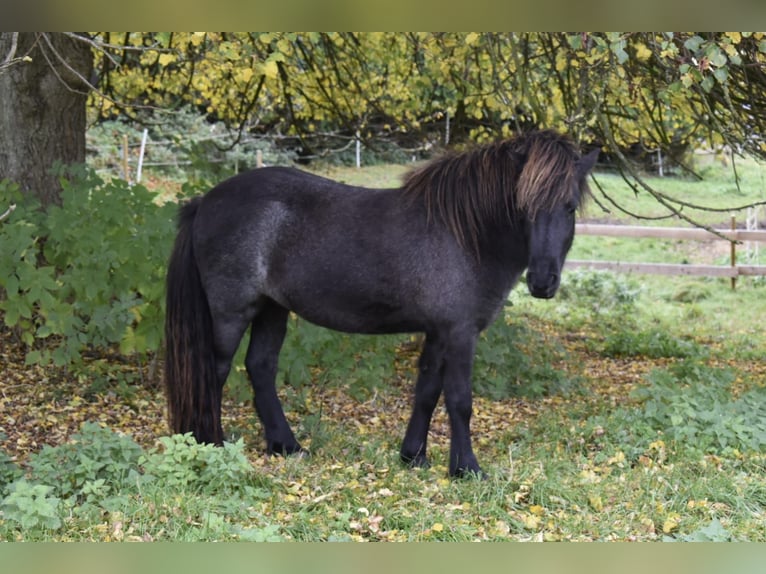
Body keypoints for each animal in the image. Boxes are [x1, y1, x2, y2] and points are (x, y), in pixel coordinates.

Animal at [166, 129, 600, 476]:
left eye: (569, 207)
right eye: (523, 207)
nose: (542, 282)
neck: (466, 234)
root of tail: (206, 201)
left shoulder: (438, 332)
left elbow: (427, 391)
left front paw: (414, 456)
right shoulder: (460, 333)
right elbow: (460, 399)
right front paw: (466, 468)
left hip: (273, 309)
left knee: (260, 368)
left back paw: (286, 446)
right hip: (231, 312)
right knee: (215, 371)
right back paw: (211, 443)